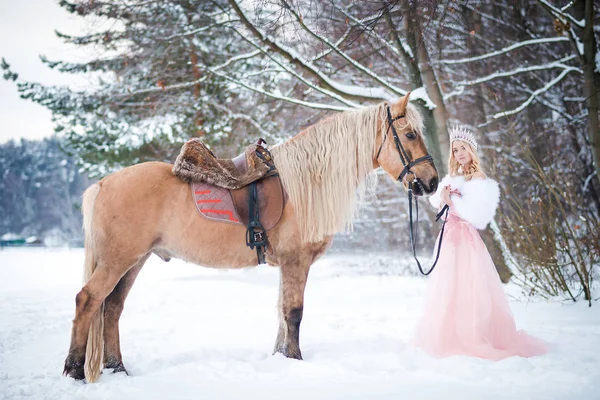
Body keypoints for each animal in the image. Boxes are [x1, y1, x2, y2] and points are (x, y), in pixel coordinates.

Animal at [65, 93, 438, 382]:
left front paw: (281, 357)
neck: (306, 183)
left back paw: (118, 369)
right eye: (409, 135)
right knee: (88, 300)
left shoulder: (288, 264)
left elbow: (281, 313)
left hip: (134, 260)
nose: (432, 182)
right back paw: (75, 370)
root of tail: (103, 184)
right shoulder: (296, 261)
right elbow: (293, 312)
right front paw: (296, 359)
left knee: (112, 308)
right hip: (118, 259)